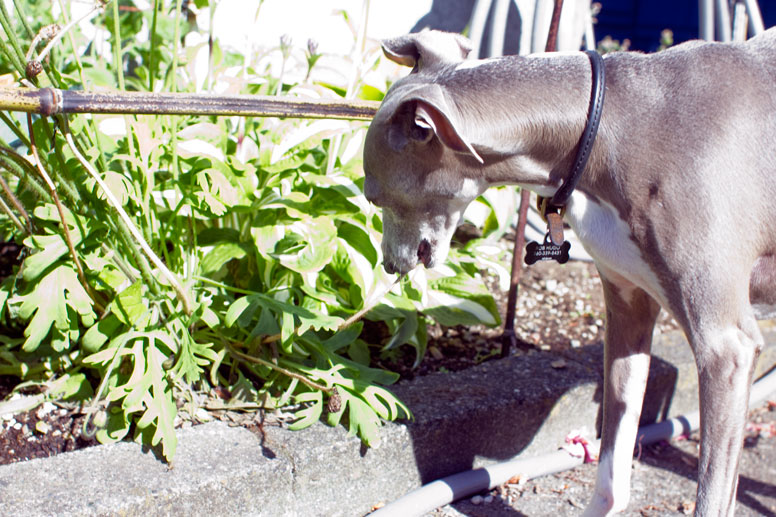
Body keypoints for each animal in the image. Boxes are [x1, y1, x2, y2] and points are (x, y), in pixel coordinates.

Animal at [362, 29, 776, 516]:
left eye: (374, 196)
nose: (389, 265)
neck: (610, 124)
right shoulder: (628, 304)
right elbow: (613, 464)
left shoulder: (726, 348)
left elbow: (711, 496)